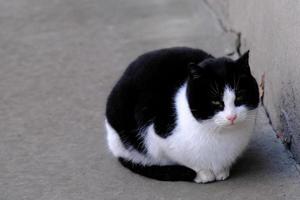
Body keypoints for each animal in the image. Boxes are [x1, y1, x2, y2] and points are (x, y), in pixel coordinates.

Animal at [104, 47, 258, 183]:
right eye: (215, 101)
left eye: (239, 97)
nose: (232, 117)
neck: (220, 133)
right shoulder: (157, 136)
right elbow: (187, 161)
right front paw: (202, 174)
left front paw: (222, 171)